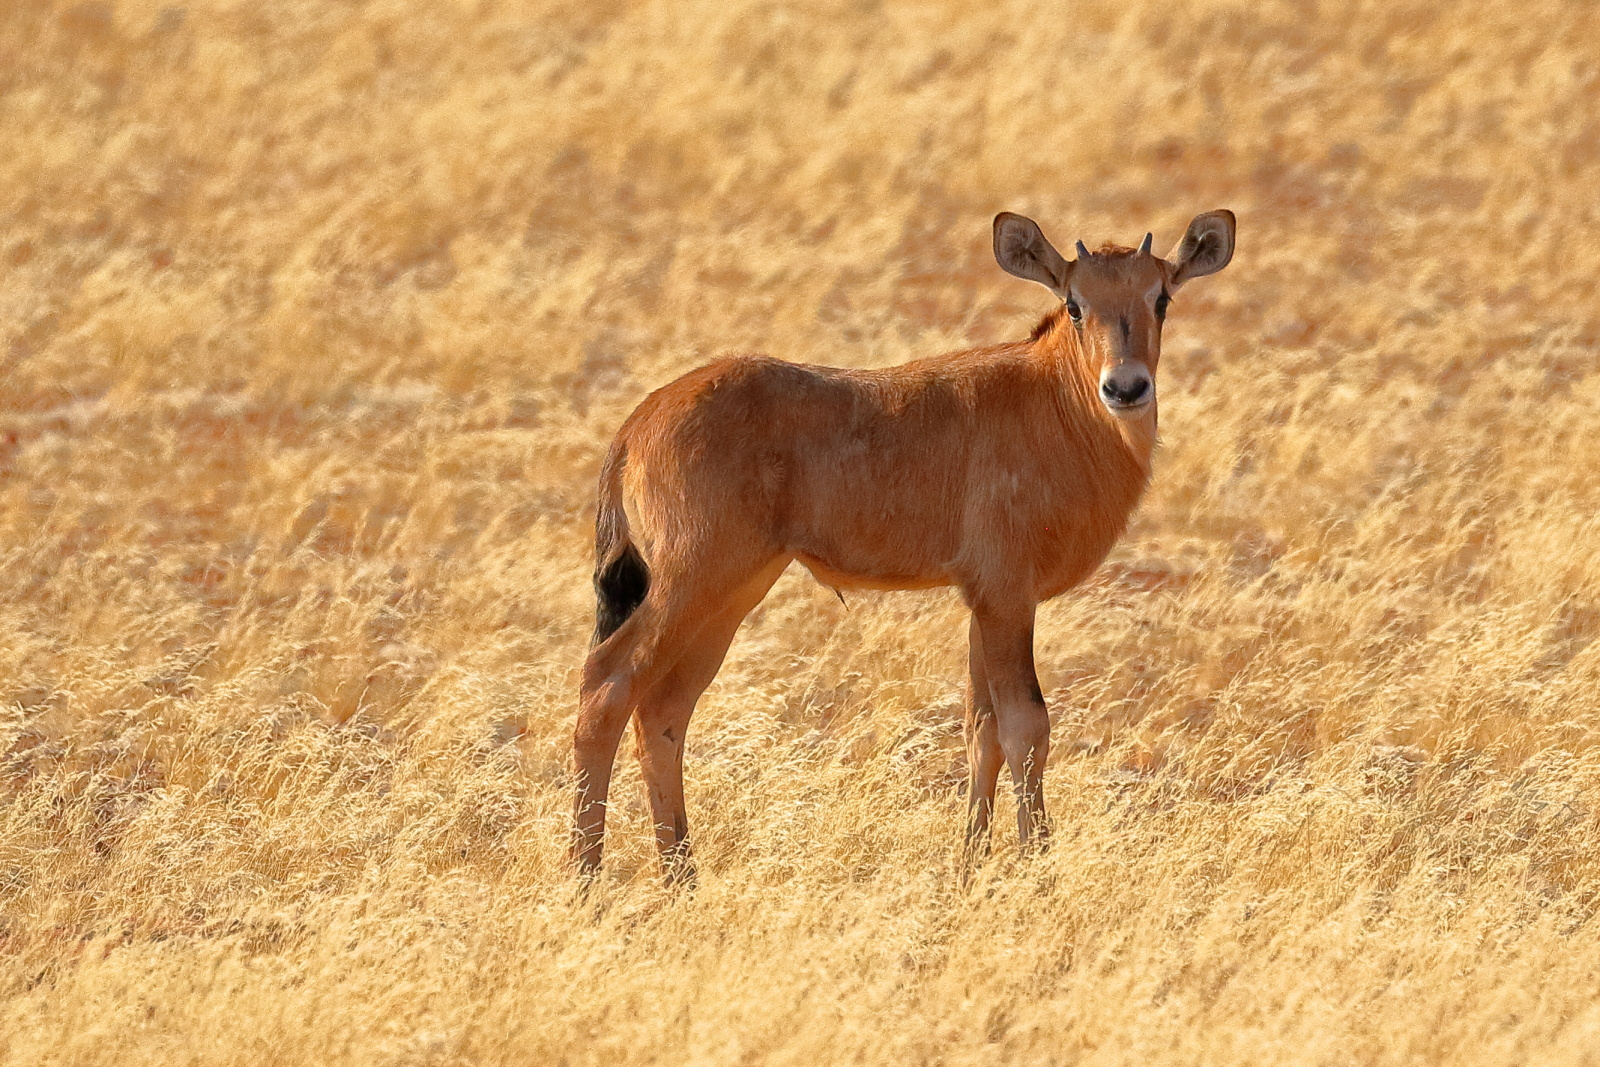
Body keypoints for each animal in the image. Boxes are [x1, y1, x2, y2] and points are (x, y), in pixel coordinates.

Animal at [576, 207, 1235, 883]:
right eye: (1075, 303)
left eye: (1160, 297)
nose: (1126, 388)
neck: (1051, 400)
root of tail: (640, 423)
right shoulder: (1007, 596)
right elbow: (1026, 724)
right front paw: (1037, 865)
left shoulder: (985, 600)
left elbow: (981, 727)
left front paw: (970, 867)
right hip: (691, 585)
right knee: (606, 684)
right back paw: (587, 878)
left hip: (729, 597)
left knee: (663, 710)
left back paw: (680, 878)